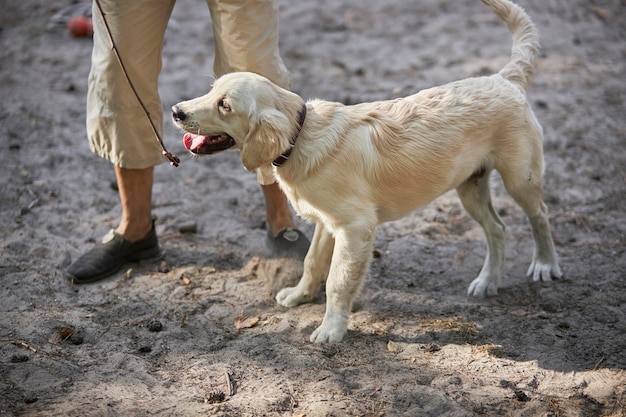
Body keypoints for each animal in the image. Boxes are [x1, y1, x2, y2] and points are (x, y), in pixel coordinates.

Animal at [171, 0, 560, 342]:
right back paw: (486, 281)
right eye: (210, 90)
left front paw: (331, 330)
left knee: (540, 215)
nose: (175, 111)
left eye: (225, 105)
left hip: (520, 178)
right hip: (470, 186)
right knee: (498, 228)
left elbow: (337, 281)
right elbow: (312, 263)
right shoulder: (328, 224)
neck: (301, 137)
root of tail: (505, 78)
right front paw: (298, 296)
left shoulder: (356, 228)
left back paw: (544, 264)